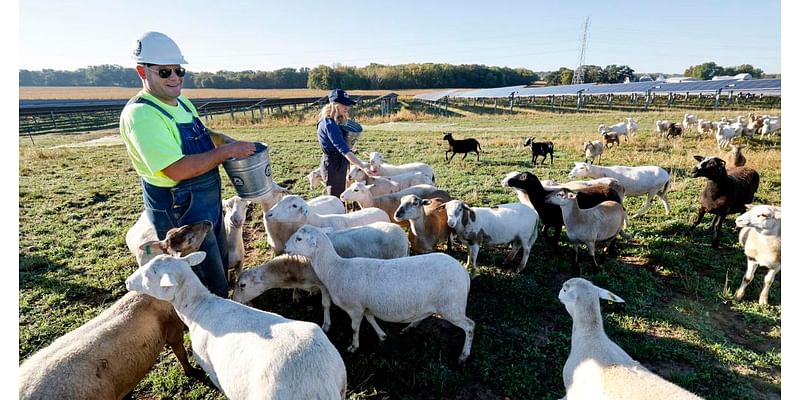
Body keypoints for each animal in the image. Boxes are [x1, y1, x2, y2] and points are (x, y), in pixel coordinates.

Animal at [126, 253, 346, 400]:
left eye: (148, 276)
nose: (128, 282)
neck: (198, 308)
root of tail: (320, 383)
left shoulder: (211, 369)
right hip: (341, 383)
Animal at [286, 225, 476, 362]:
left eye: (299, 238)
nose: (285, 247)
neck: (335, 268)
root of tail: (463, 272)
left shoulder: (355, 308)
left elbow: (354, 328)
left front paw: (354, 347)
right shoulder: (365, 306)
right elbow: (371, 319)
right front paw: (382, 335)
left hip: (452, 307)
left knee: (470, 326)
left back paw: (464, 355)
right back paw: (410, 327)